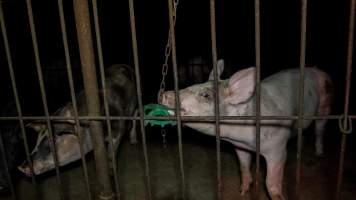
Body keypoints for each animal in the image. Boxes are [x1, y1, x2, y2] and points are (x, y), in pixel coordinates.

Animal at [160, 59, 332, 200]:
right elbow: (243, 167)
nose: (163, 94)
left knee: (320, 130)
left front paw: (278, 197)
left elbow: (270, 182)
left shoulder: (277, 146)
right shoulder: (240, 146)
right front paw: (242, 192)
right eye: (193, 85)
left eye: (206, 95)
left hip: (326, 106)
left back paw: (319, 153)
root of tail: (316, 69)